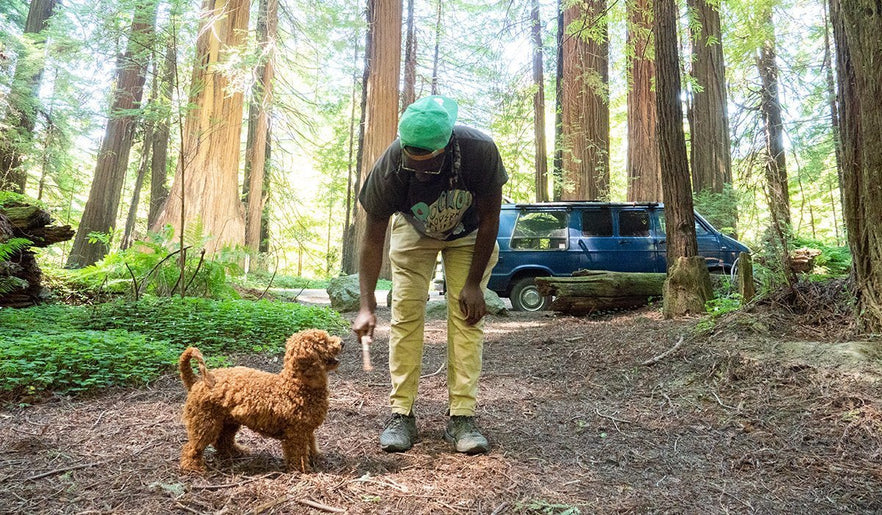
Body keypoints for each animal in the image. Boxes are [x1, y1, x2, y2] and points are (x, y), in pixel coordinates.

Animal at [177, 328, 342, 474]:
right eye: (323, 342)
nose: (342, 342)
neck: (296, 385)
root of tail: (196, 381)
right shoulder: (296, 433)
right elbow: (298, 454)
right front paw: (302, 470)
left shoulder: (307, 429)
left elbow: (311, 444)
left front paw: (316, 457)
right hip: (205, 423)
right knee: (192, 447)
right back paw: (193, 466)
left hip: (228, 422)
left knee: (222, 441)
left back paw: (237, 451)